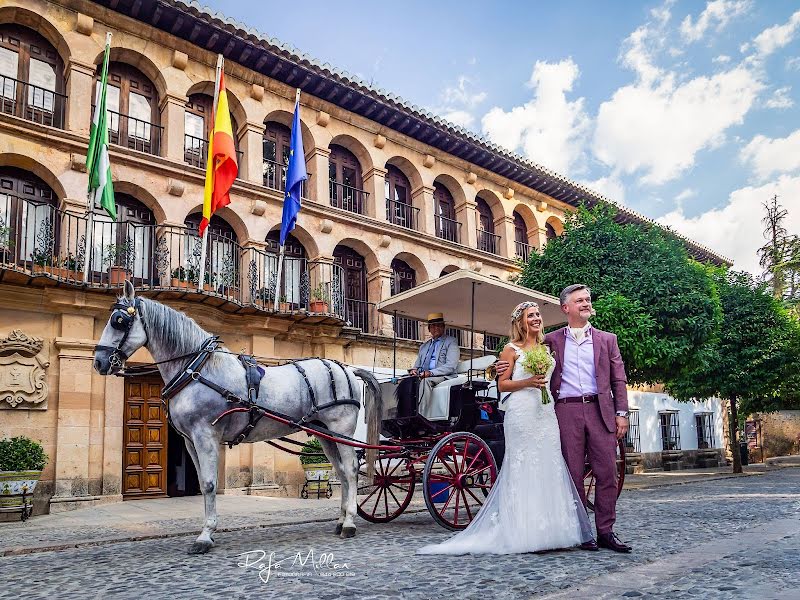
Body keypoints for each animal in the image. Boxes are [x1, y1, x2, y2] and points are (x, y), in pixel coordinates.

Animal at [94, 282, 382, 552]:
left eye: (119, 321)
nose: (98, 362)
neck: (197, 370)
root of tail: (348, 369)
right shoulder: (190, 440)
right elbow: (203, 483)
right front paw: (208, 530)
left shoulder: (205, 435)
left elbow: (210, 483)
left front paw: (205, 536)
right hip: (325, 434)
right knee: (341, 472)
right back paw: (341, 519)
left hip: (341, 429)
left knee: (351, 470)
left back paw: (349, 522)